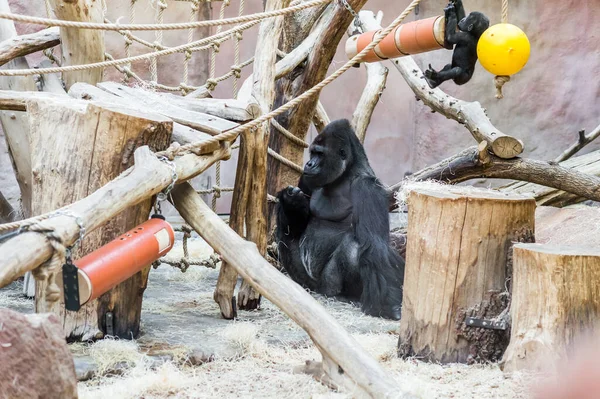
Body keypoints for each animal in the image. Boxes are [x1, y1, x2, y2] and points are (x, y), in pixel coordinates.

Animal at [274, 119, 406, 322]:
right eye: (312, 152)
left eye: (320, 154)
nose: (309, 164)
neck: (346, 173)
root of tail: (320, 290)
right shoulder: (306, 178)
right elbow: (296, 226)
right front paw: (291, 202)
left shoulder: (368, 186)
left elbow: (374, 242)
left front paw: (390, 306)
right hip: (310, 283)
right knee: (285, 234)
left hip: (329, 286)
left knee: (354, 246)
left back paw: (345, 295)